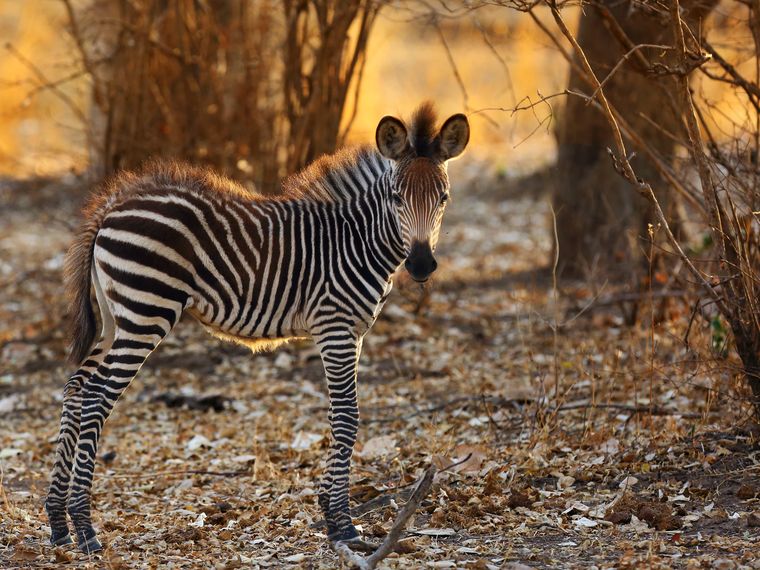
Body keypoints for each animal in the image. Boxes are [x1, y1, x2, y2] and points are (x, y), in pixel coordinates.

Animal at [45, 102, 470, 554]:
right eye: (396, 197)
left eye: (443, 197)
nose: (421, 265)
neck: (355, 240)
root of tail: (112, 204)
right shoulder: (335, 327)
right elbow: (346, 417)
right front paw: (341, 524)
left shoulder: (354, 334)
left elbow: (341, 416)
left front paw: (330, 512)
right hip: (146, 312)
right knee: (95, 398)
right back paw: (85, 528)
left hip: (115, 318)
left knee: (76, 389)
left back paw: (58, 524)